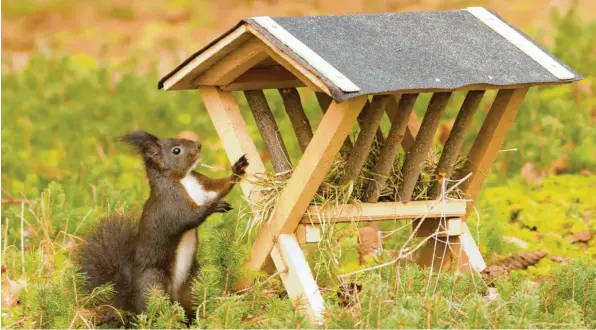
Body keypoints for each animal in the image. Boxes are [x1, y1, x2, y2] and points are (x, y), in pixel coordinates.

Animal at [77, 130, 249, 318]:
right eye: (176, 151)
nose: (198, 145)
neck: (183, 179)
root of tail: (131, 300)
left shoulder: (202, 187)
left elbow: (219, 188)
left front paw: (237, 170)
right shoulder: (171, 205)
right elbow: (189, 217)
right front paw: (214, 206)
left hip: (192, 282)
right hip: (153, 283)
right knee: (153, 309)